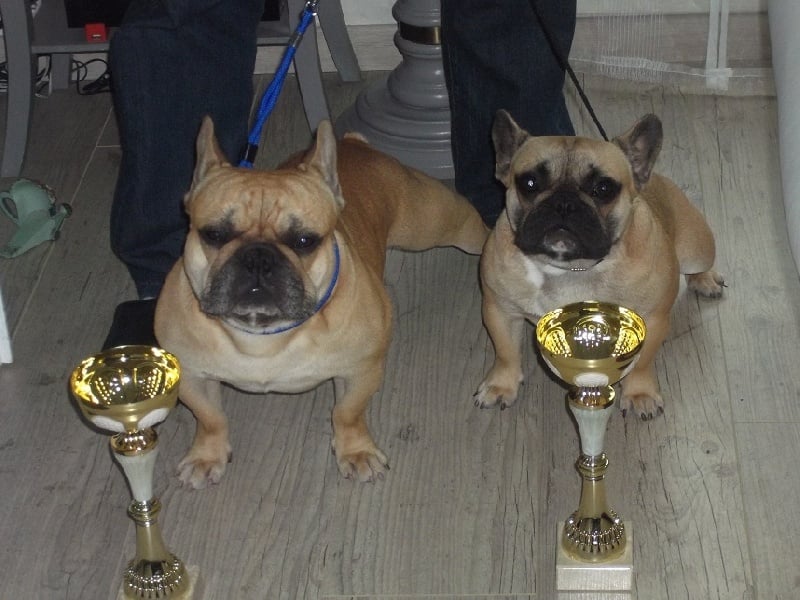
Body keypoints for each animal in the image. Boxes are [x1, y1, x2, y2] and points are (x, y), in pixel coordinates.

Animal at [154, 117, 488, 488]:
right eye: (213, 234)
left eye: (304, 241)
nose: (258, 257)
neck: (262, 335)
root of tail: (355, 144)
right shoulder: (193, 377)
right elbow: (210, 417)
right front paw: (206, 455)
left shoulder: (361, 371)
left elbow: (347, 413)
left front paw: (356, 452)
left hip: (440, 224)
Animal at [475, 110, 724, 419]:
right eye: (529, 183)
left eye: (603, 189)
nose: (564, 203)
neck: (570, 268)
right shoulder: (500, 310)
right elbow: (506, 352)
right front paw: (501, 385)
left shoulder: (652, 319)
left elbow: (642, 362)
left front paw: (640, 394)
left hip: (697, 248)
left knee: (699, 264)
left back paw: (705, 279)